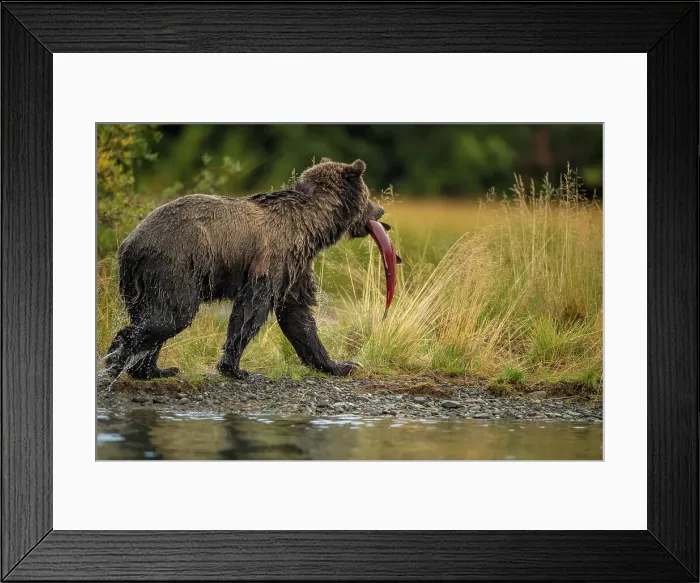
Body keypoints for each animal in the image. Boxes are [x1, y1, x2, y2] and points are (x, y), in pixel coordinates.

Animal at [103, 158, 391, 381]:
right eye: (368, 195)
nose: (380, 210)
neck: (312, 227)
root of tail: (129, 244)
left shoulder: (296, 267)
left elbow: (298, 317)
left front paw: (342, 365)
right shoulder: (273, 260)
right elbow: (252, 311)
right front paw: (235, 368)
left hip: (140, 281)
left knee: (152, 319)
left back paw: (155, 370)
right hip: (174, 267)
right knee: (169, 317)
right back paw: (115, 361)